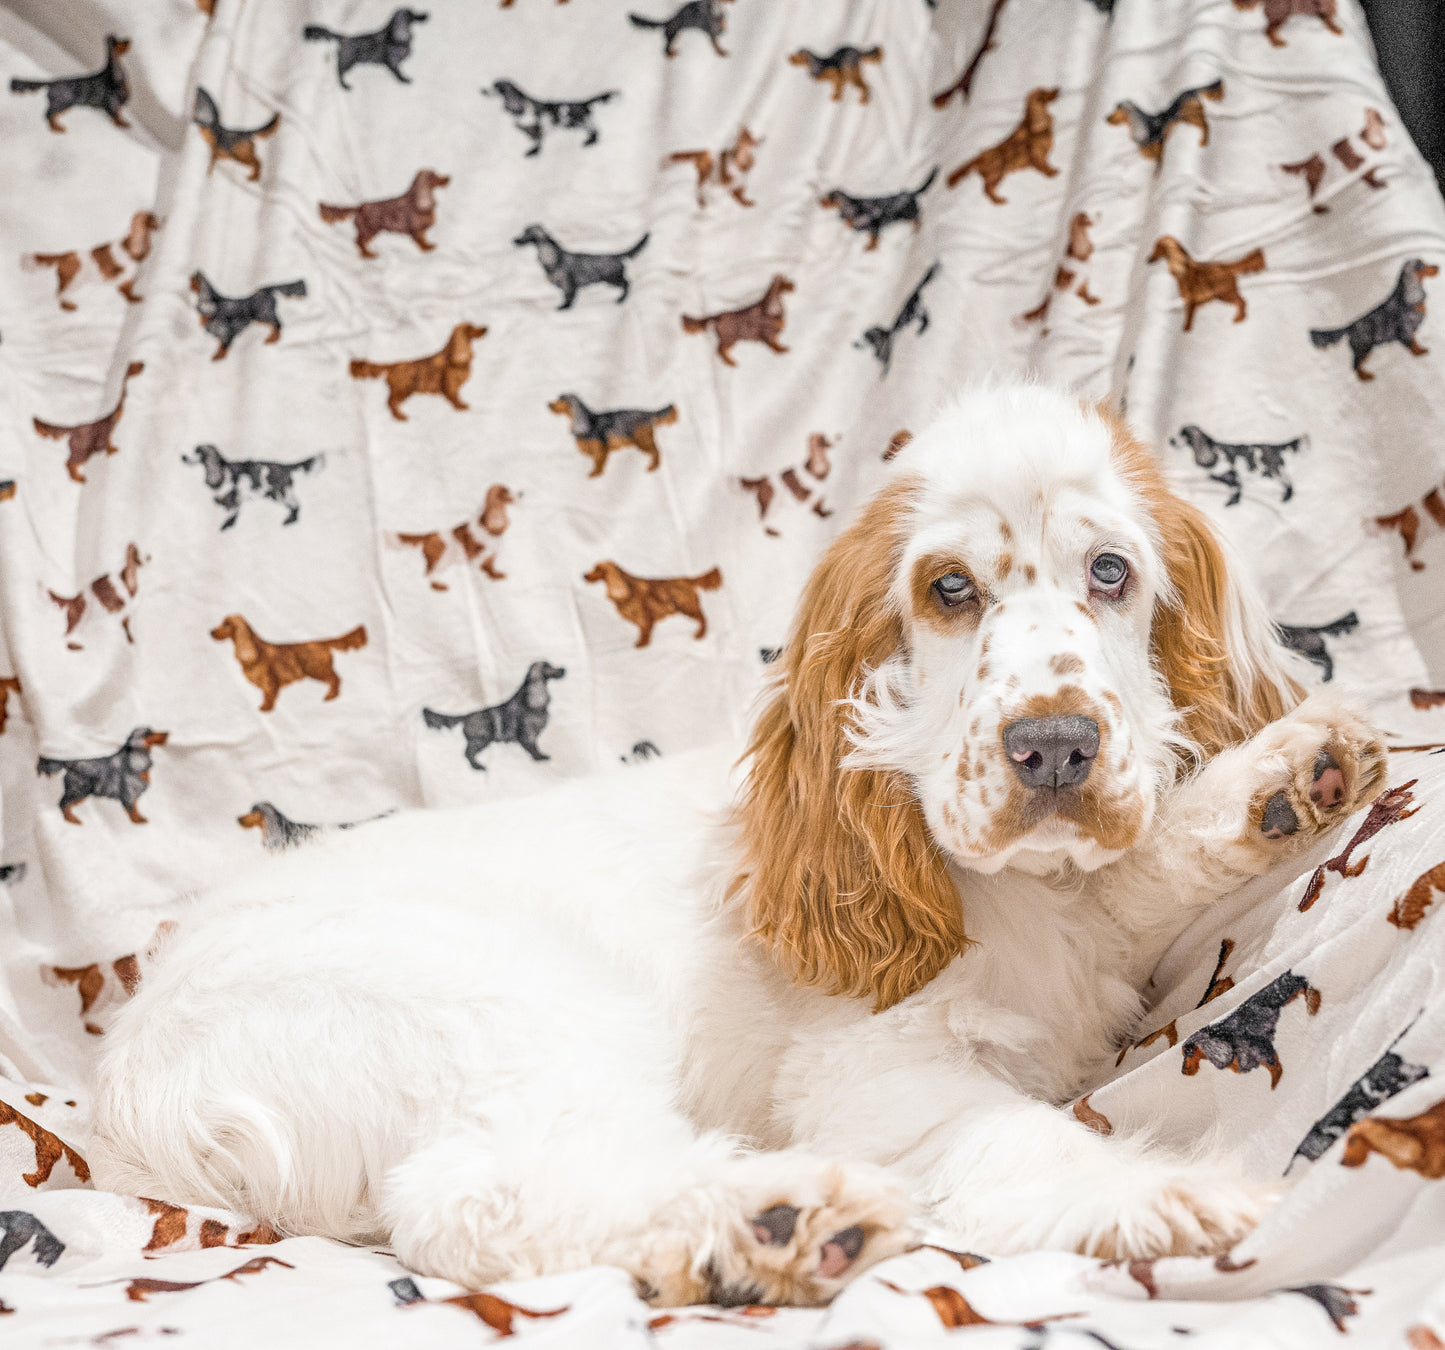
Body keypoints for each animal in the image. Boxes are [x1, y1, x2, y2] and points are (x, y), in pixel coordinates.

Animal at [93, 387, 1387, 1312]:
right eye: (948, 588)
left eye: (1110, 572)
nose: (1054, 748)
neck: (987, 885)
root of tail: (138, 1078)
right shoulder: (876, 1079)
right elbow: (1014, 1133)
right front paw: (1173, 1198)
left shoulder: (1082, 920)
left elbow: (1133, 872)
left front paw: (1281, 778)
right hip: (507, 1011)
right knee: (475, 1194)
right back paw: (779, 1219)